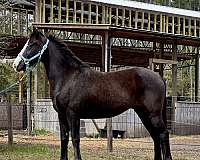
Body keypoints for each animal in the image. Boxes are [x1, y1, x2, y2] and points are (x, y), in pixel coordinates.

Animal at [12, 28, 172, 159]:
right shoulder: (61, 115)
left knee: (163, 134)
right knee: (155, 137)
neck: (68, 77)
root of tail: (159, 77)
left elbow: (75, 139)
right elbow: (64, 138)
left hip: (153, 114)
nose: (15, 65)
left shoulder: (73, 114)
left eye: (32, 44)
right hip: (143, 113)